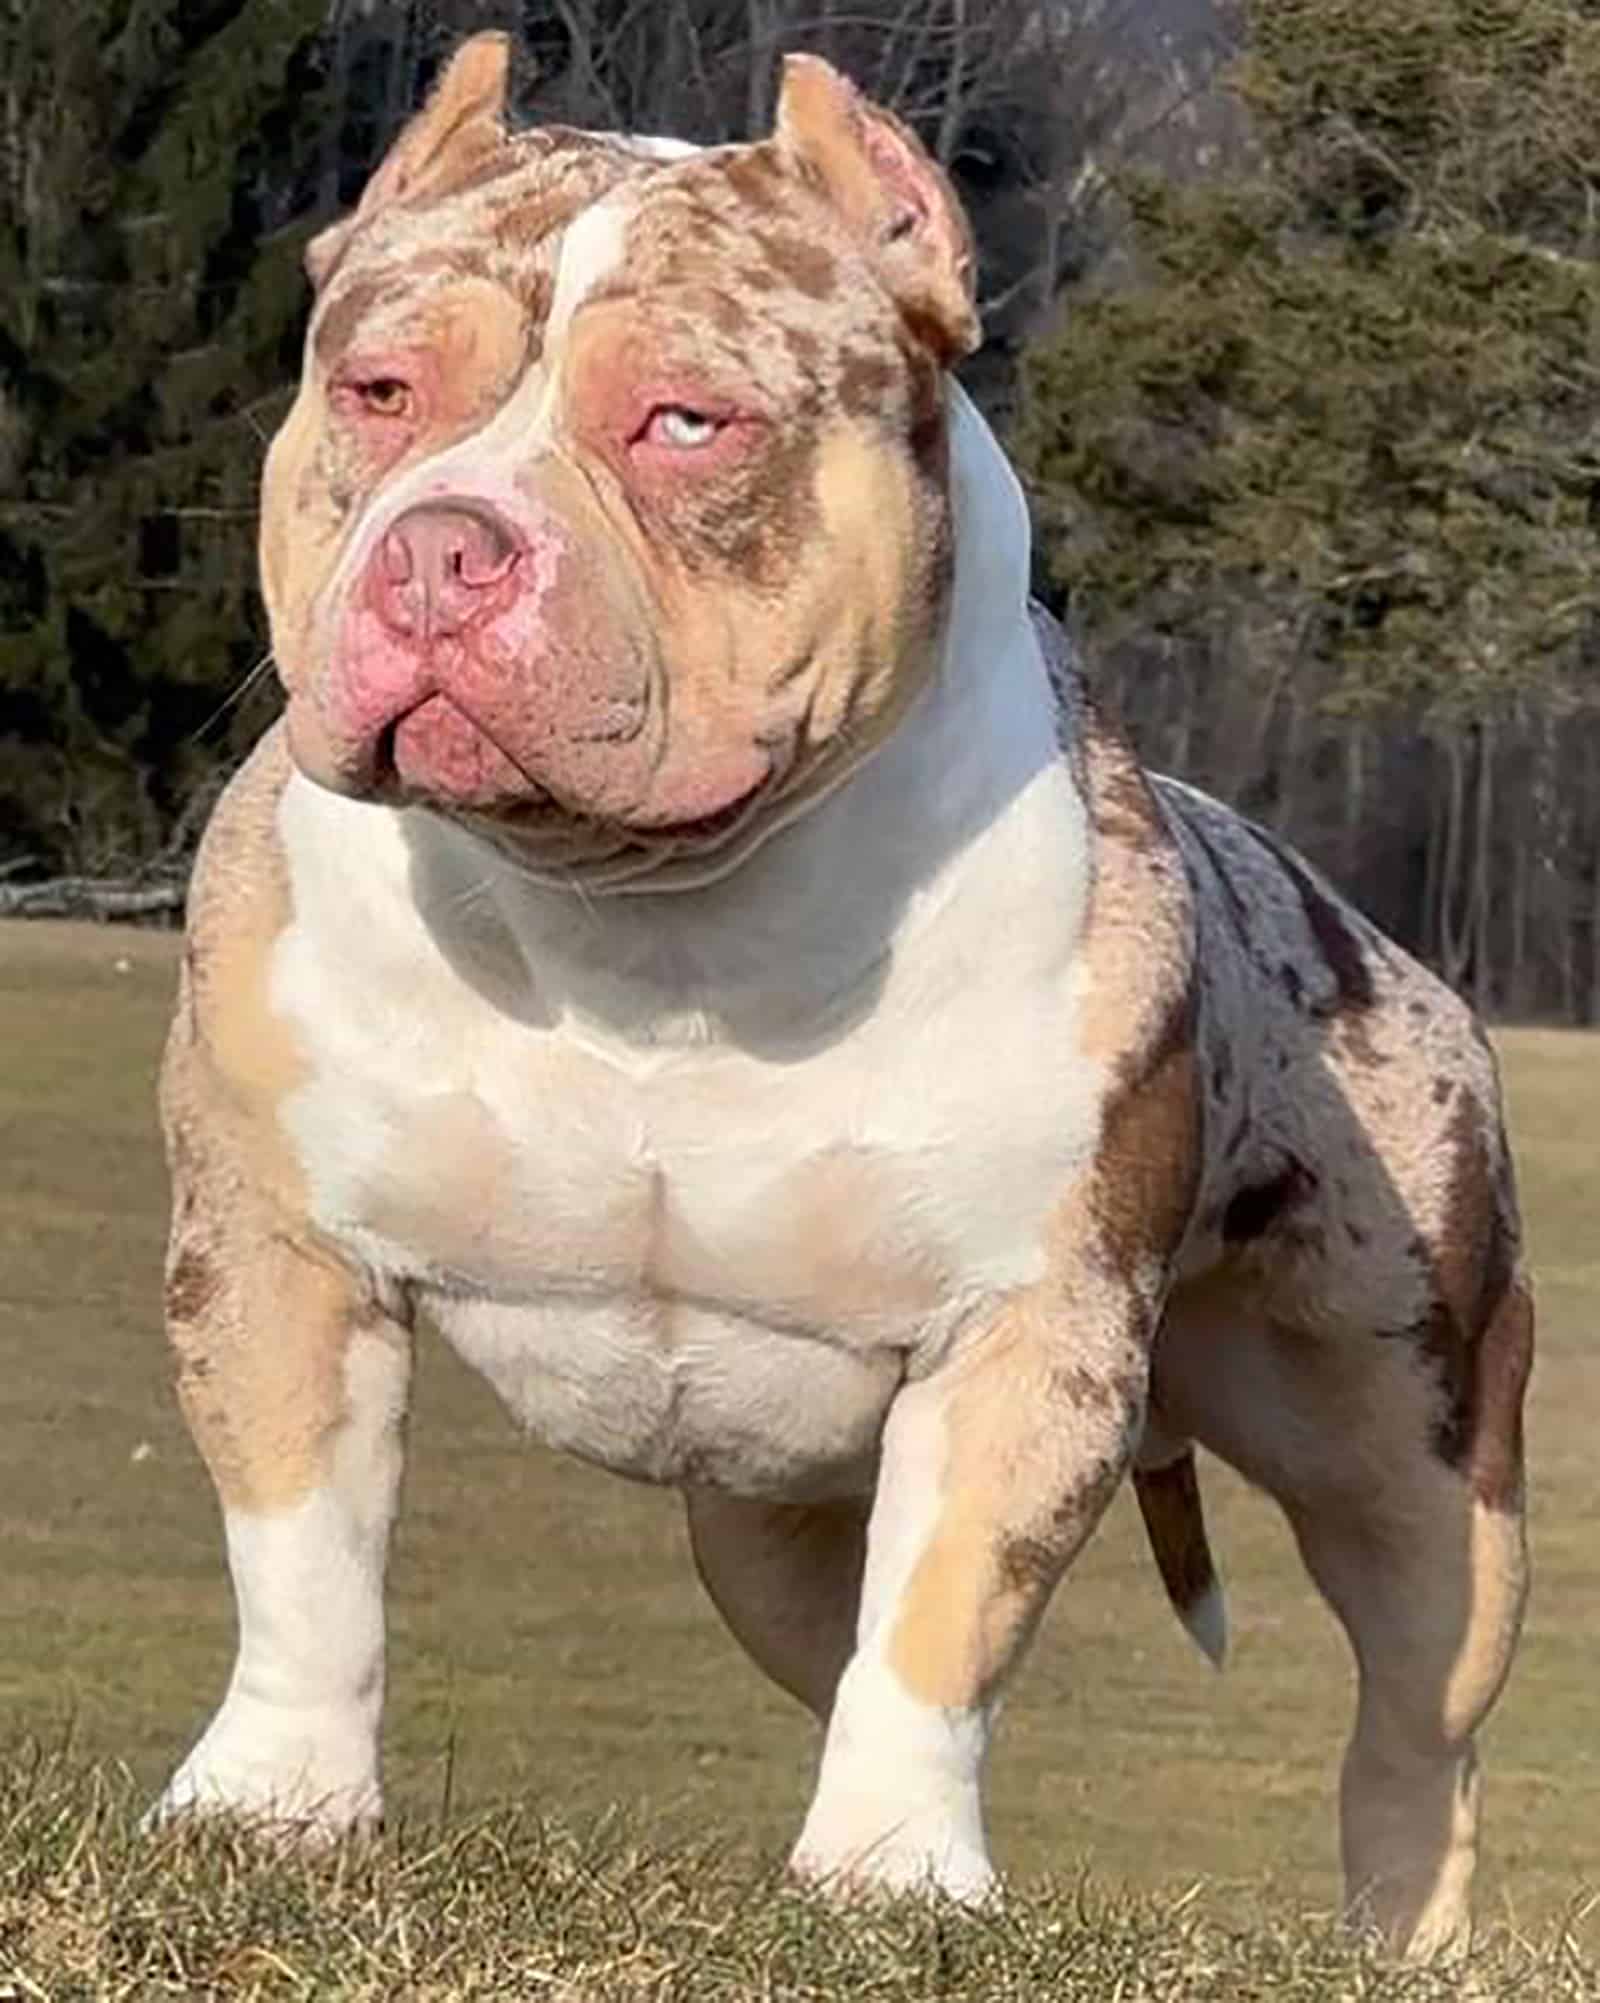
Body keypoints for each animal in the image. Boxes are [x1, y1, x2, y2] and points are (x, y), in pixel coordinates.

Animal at [156, 39, 1529, 1962]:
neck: (644, 927)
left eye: (686, 424)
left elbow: (948, 1610)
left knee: (1417, 1719)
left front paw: (891, 1868)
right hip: (768, 1516)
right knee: (839, 1636)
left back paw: (1395, 1934)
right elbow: (305, 1552)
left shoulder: (1024, 1327)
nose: (442, 547)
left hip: (1418, 1460)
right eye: (377, 389)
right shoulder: (280, 1251)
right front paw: (276, 1800)